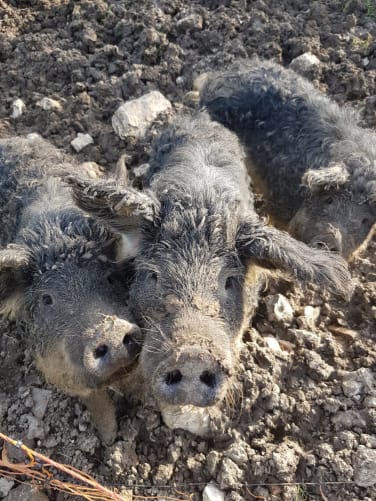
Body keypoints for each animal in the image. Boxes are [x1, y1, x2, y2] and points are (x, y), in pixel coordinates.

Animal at [0, 135, 142, 444]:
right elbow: (96, 402)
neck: (55, 233)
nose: (109, 331)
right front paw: (108, 439)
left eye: (110, 278)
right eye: (47, 299)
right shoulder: (56, 369)